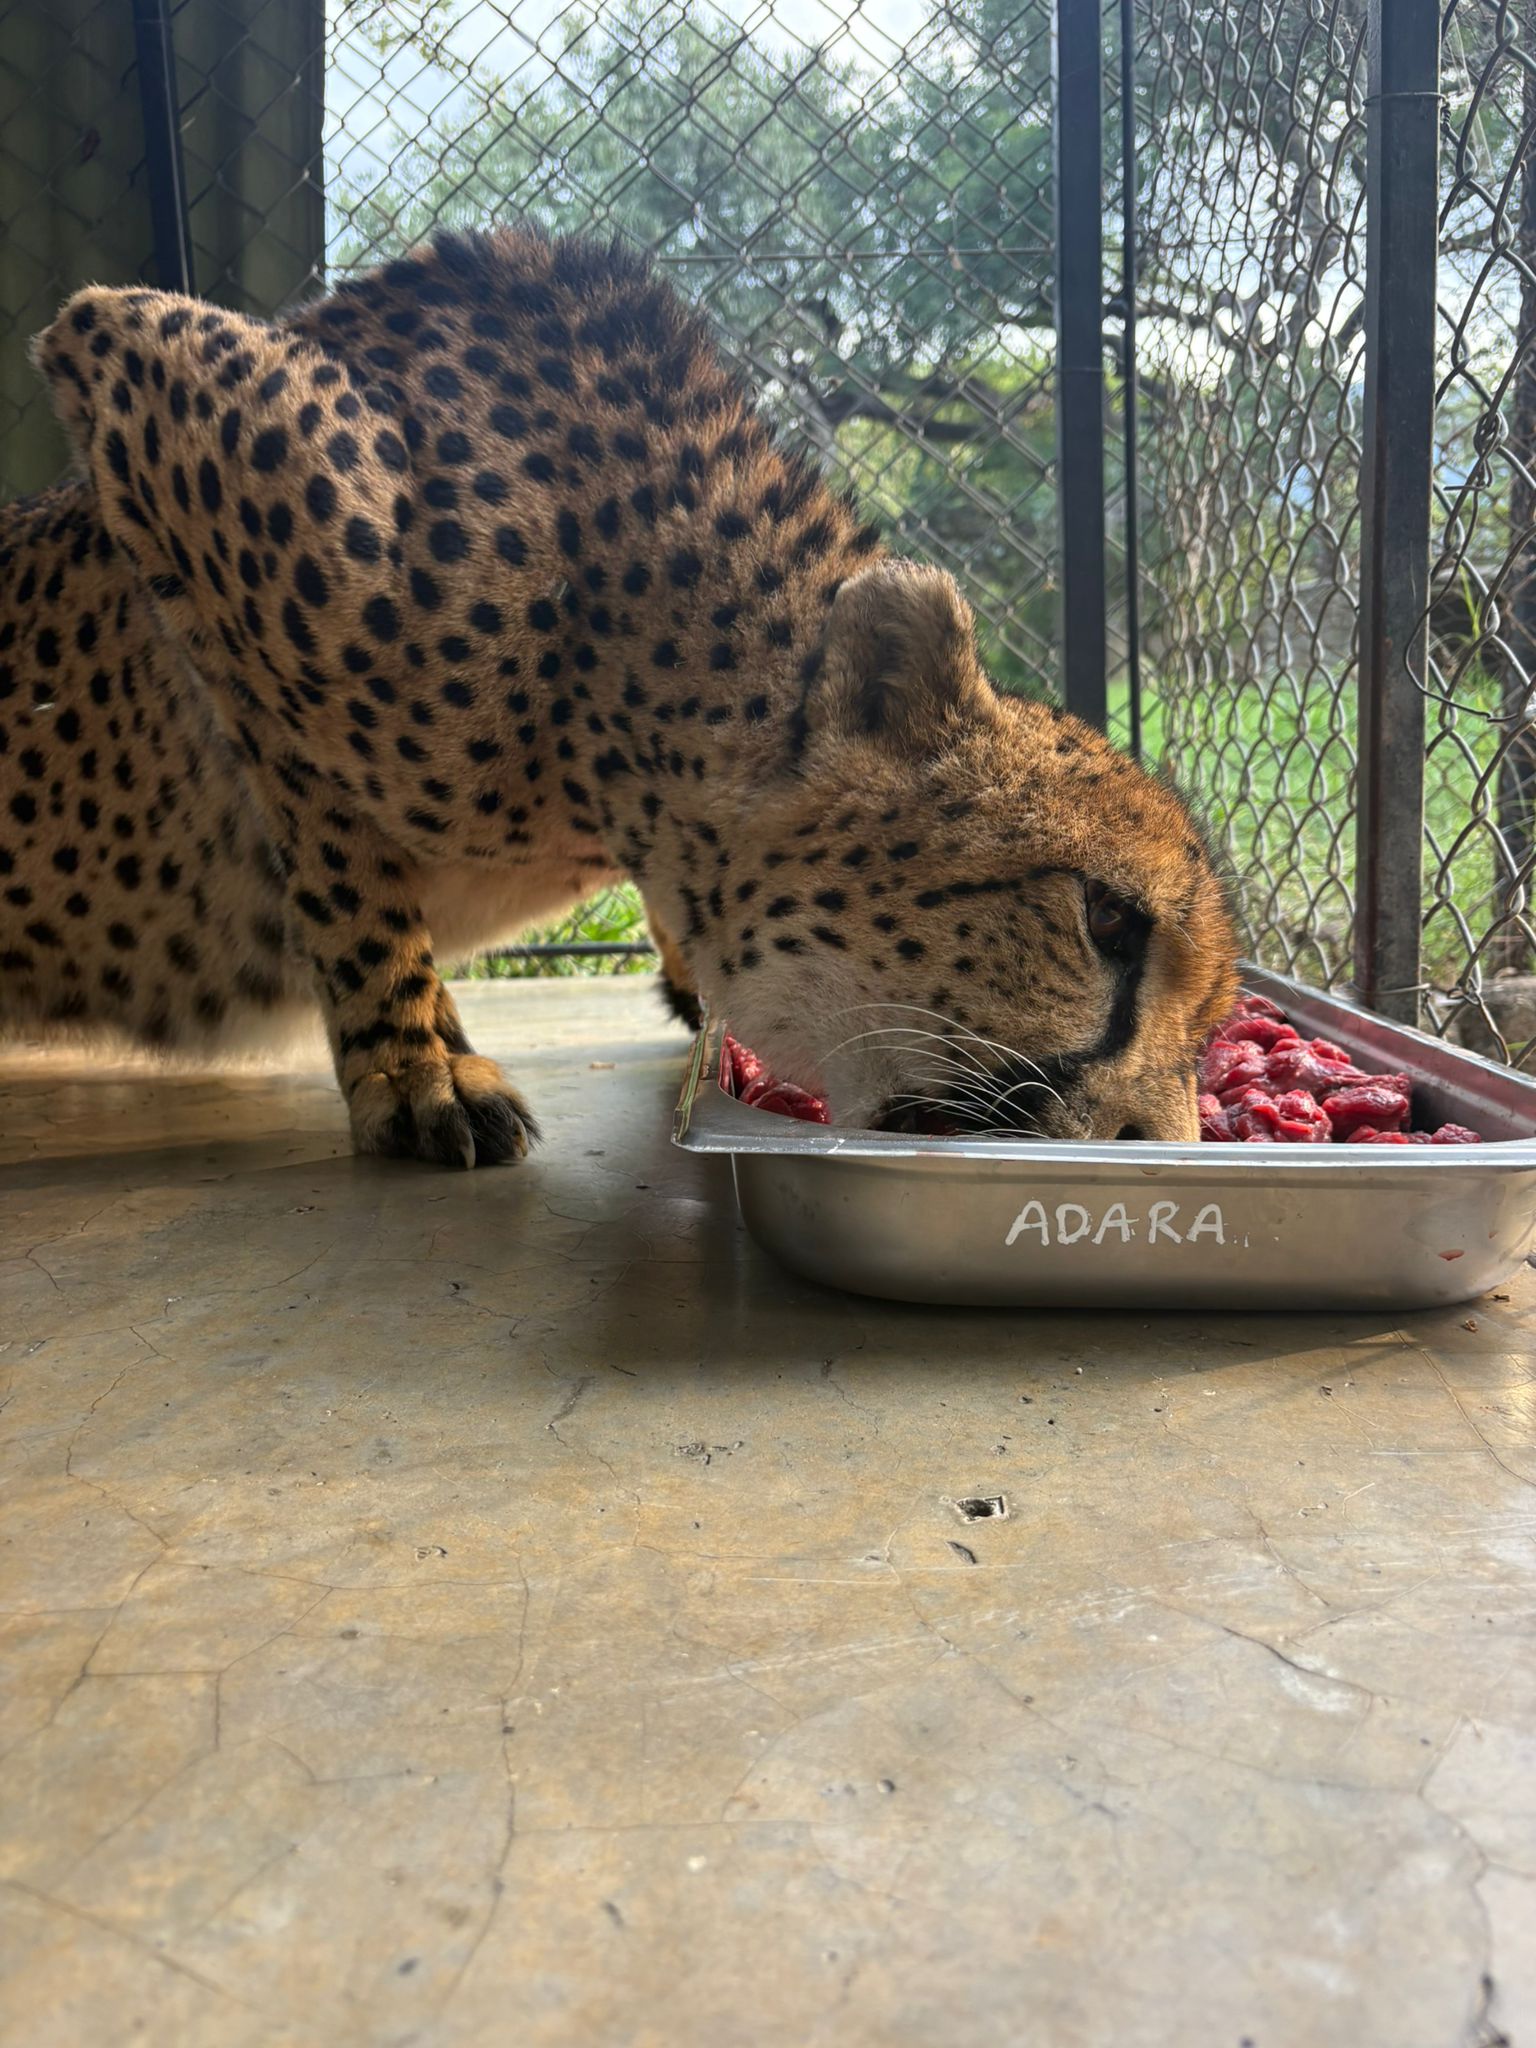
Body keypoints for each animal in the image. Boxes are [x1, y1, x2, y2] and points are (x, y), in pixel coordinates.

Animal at [1, 226, 1237, 1165]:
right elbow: (337, 851)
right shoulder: (134, 365)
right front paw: (417, 1066)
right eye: (1107, 921)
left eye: (1216, 1019)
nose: (1163, 1147)